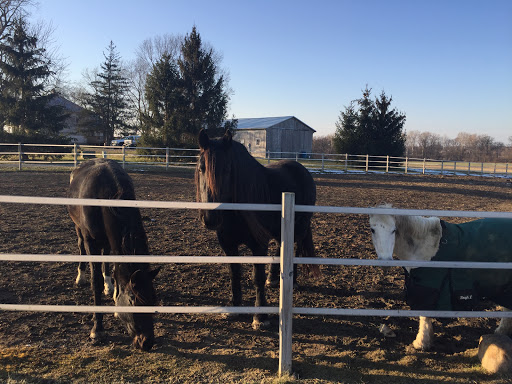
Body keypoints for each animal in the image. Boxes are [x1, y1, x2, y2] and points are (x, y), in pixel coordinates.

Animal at [68, 158, 159, 350]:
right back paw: (81, 277)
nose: (146, 342)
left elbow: (117, 271)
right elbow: (95, 281)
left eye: (153, 298)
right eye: (133, 300)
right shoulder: (91, 243)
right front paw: (97, 329)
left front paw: (116, 299)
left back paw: (108, 285)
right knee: (80, 247)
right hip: (79, 229)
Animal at [196, 130, 320, 328]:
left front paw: (260, 317)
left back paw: (293, 282)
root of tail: (302, 170)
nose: (210, 218)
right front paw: (234, 307)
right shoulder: (228, 245)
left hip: (299, 226)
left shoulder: (258, 245)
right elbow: (234, 274)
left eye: (227, 169)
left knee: (295, 249)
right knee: (281, 247)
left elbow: (257, 277)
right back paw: (273, 278)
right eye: (202, 168)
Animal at [370, 206, 512, 350]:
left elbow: (424, 317)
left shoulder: (428, 290)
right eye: (372, 230)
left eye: (394, 230)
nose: (385, 261)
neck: (423, 248)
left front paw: (421, 343)